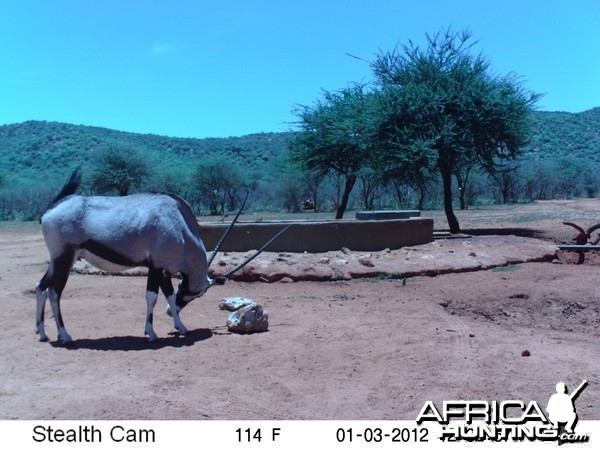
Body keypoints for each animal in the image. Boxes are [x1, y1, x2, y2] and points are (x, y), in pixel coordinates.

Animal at [35, 171, 288, 342]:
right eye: (196, 292)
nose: (167, 314)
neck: (179, 223)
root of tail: (51, 209)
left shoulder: (165, 270)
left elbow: (169, 296)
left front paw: (181, 327)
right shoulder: (156, 266)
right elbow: (153, 297)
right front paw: (151, 332)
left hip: (57, 260)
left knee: (41, 287)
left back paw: (42, 333)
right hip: (65, 259)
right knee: (54, 291)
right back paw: (65, 335)